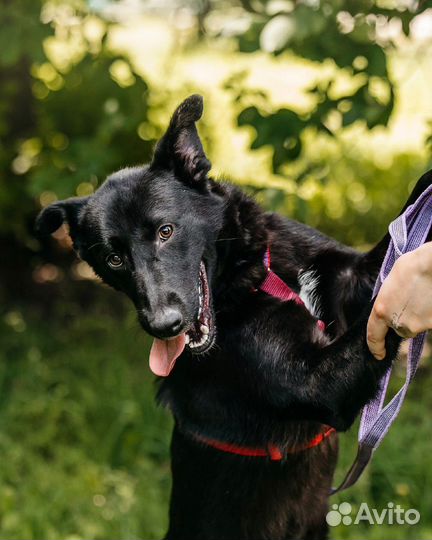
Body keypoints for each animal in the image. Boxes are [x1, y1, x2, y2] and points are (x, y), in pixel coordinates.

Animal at [36, 97, 432, 540]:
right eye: (114, 258)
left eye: (166, 231)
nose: (163, 325)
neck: (262, 274)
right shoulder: (319, 384)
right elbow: (375, 314)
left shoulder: (354, 274)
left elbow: (399, 236)